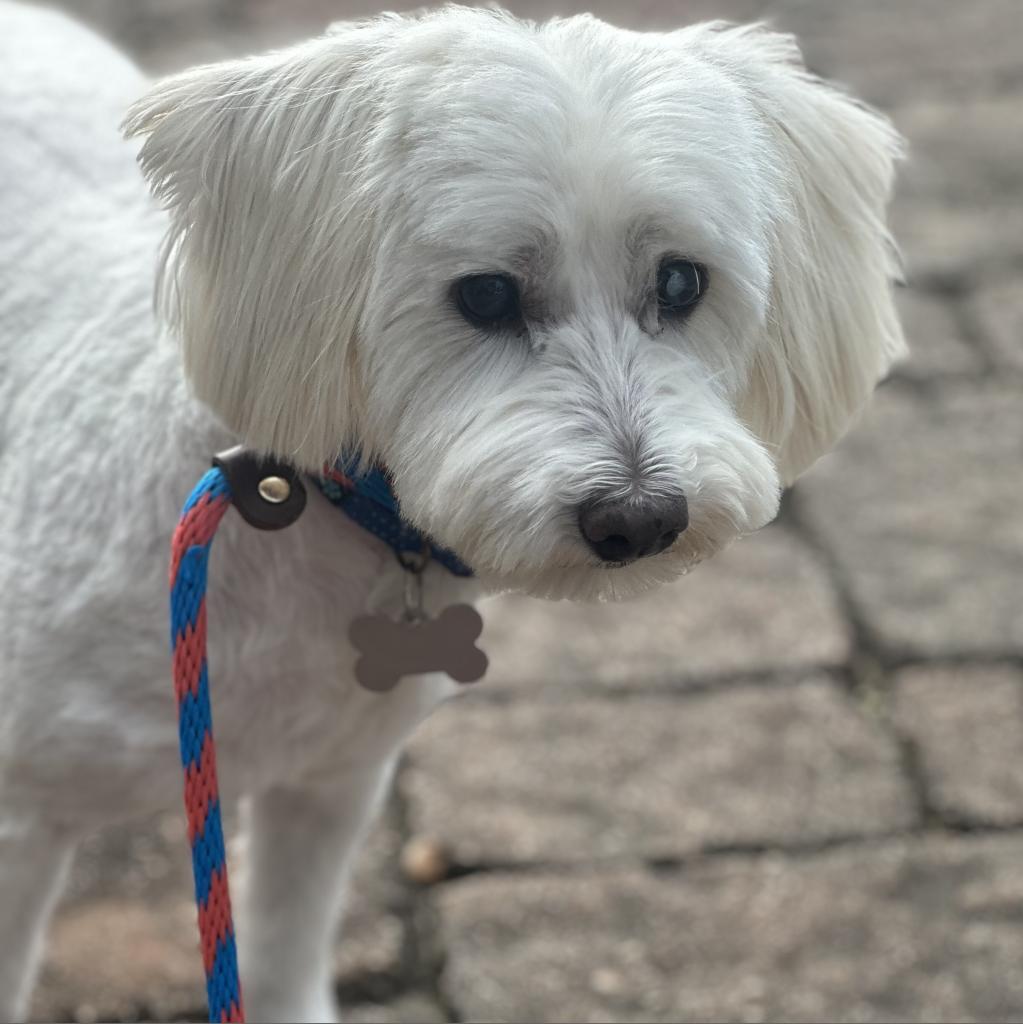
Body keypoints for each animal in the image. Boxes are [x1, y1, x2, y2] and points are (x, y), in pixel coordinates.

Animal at [0, 2, 909, 1015]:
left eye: (681, 283)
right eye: (483, 294)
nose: (639, 520)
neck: (313, 518)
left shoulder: (332, 786)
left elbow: (283, 959)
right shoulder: (19, 827)